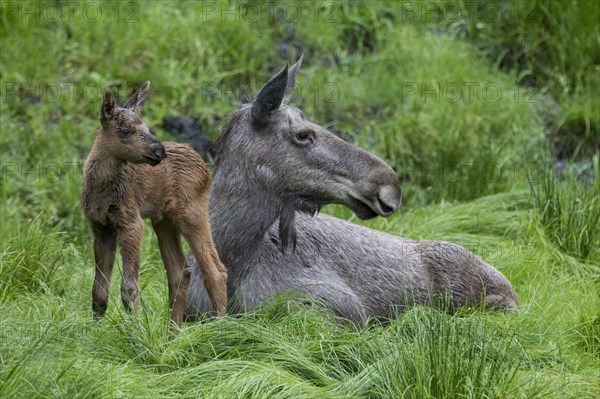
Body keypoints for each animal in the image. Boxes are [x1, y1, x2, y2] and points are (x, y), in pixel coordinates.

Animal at [81, 82, 226, 328]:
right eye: (125, 131)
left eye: (147, 128)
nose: (159, 151)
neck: (101, 188)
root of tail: (206, 167)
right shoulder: (100, 228)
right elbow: (98, 292)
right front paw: (93, 331)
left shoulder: (132, 222)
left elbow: (128, 288)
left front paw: (134, 332)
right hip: (164, 220)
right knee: (180, 272)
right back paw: (172, 334)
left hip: (193, 211)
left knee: (216, 271)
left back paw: (222, 328)